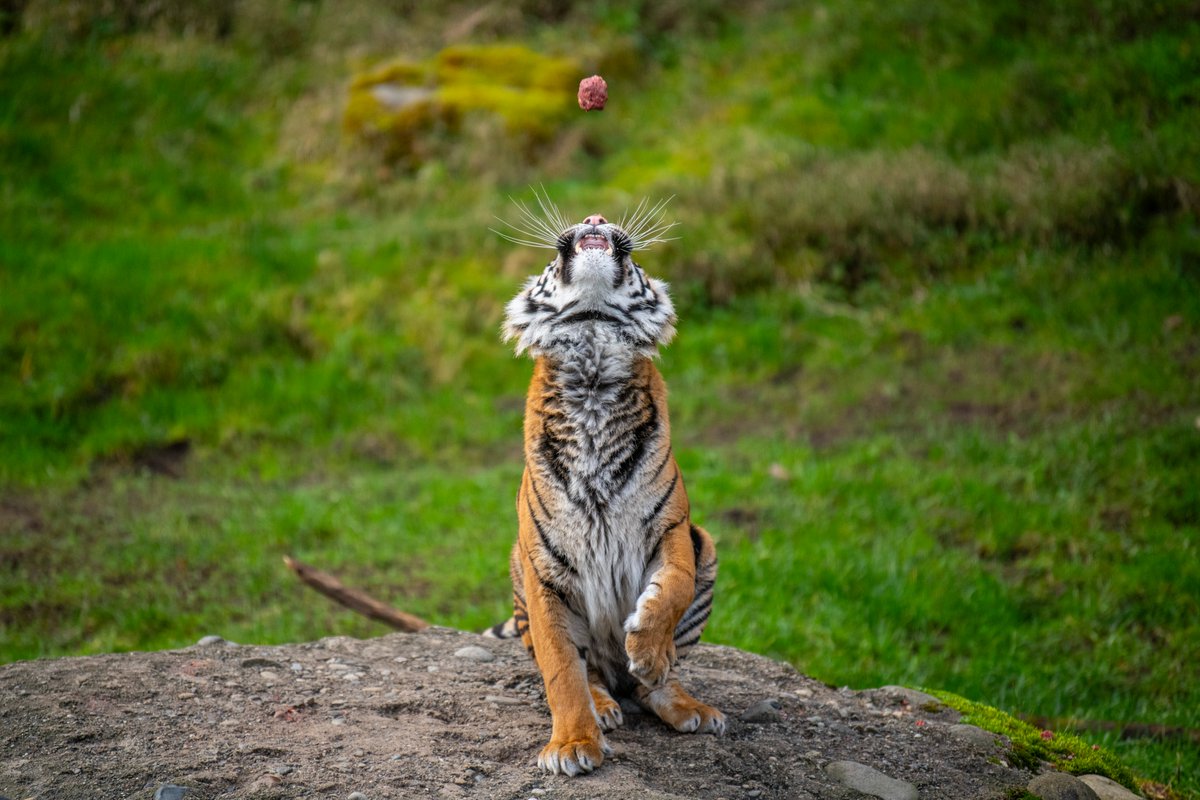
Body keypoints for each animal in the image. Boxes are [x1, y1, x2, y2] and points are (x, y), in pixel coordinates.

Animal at [484, 196, 724, 776]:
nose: (593, 217)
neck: (592, 360)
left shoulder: (672, 529)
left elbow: (674, 586)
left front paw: (649, 648)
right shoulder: (545, 570)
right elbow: (561, 669)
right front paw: (574, 744)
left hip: (706, 548)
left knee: (650, 686)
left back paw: (683, 702)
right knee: (591, 673)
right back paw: (603, 705)